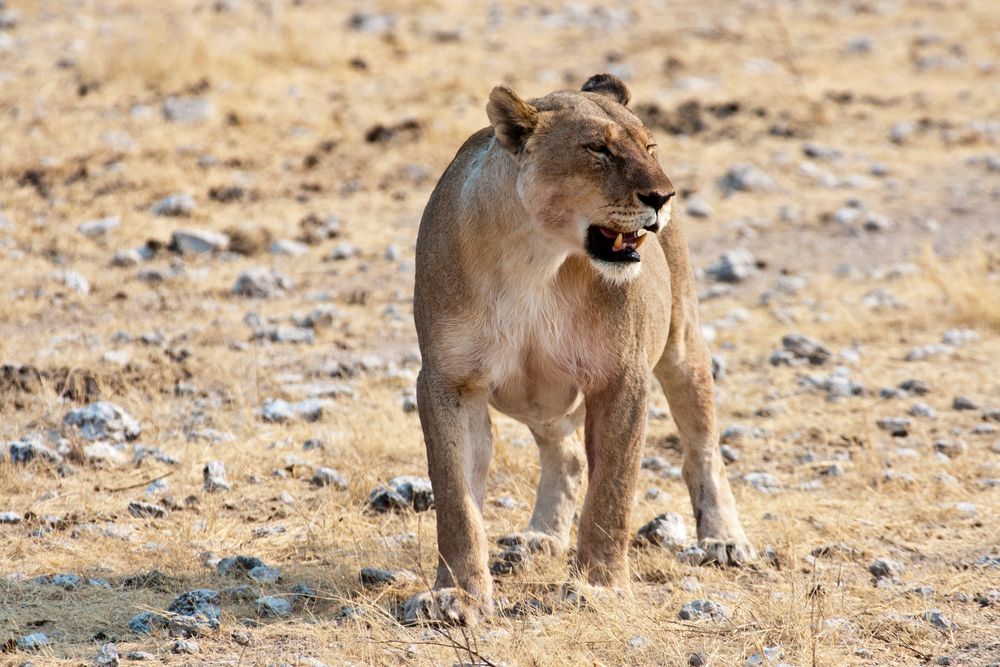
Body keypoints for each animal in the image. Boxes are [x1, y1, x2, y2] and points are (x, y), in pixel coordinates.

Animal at [406, 74, 752, 628]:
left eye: (650, 147)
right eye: (598, 150)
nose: (664, 196)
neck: (535, 259)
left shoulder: (620, 378)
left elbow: (612, 492)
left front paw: (600, 589)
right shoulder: (448, 382)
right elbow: (457, 504)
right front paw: (456, 595)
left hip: (681, 345)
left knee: (702, 448)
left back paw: (723, 540)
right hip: (536, 397)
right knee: (565, 457)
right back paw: (539, 539)